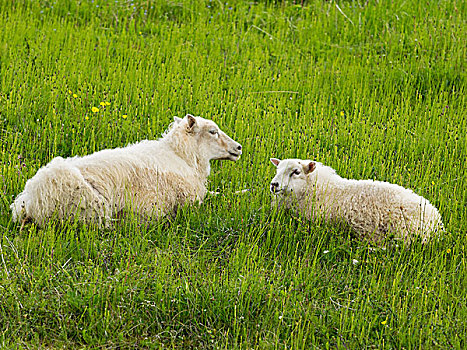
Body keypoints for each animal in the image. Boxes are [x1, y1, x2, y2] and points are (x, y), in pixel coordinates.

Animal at [12, 115, 243, 228]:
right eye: (212, 131)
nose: (239, 148)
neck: (182, 156)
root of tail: (30, 202)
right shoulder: (191, 202)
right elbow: (217, 196)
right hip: (89, 208)